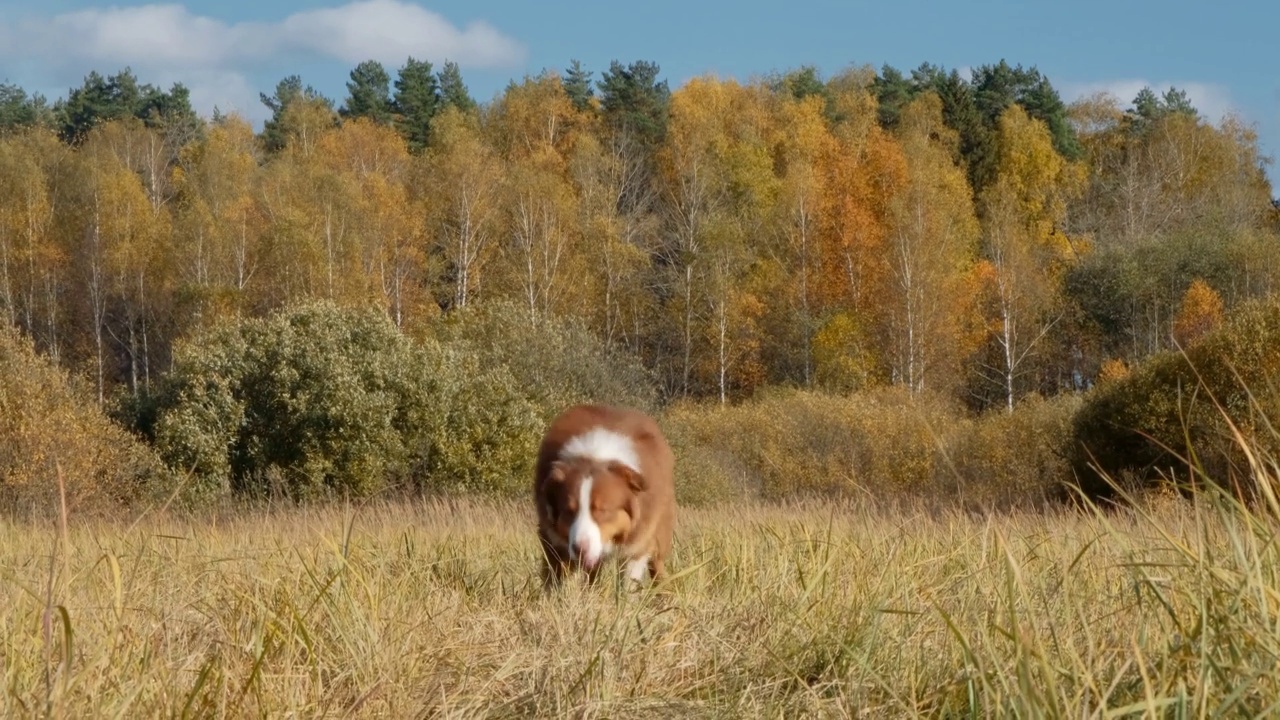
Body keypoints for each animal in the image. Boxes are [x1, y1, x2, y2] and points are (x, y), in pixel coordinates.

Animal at [532, 399, 675, 586]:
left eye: (602, 511)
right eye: (568, 511)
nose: (580, 549)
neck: (596, 455)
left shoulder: (637, 543)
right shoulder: (553, 540)